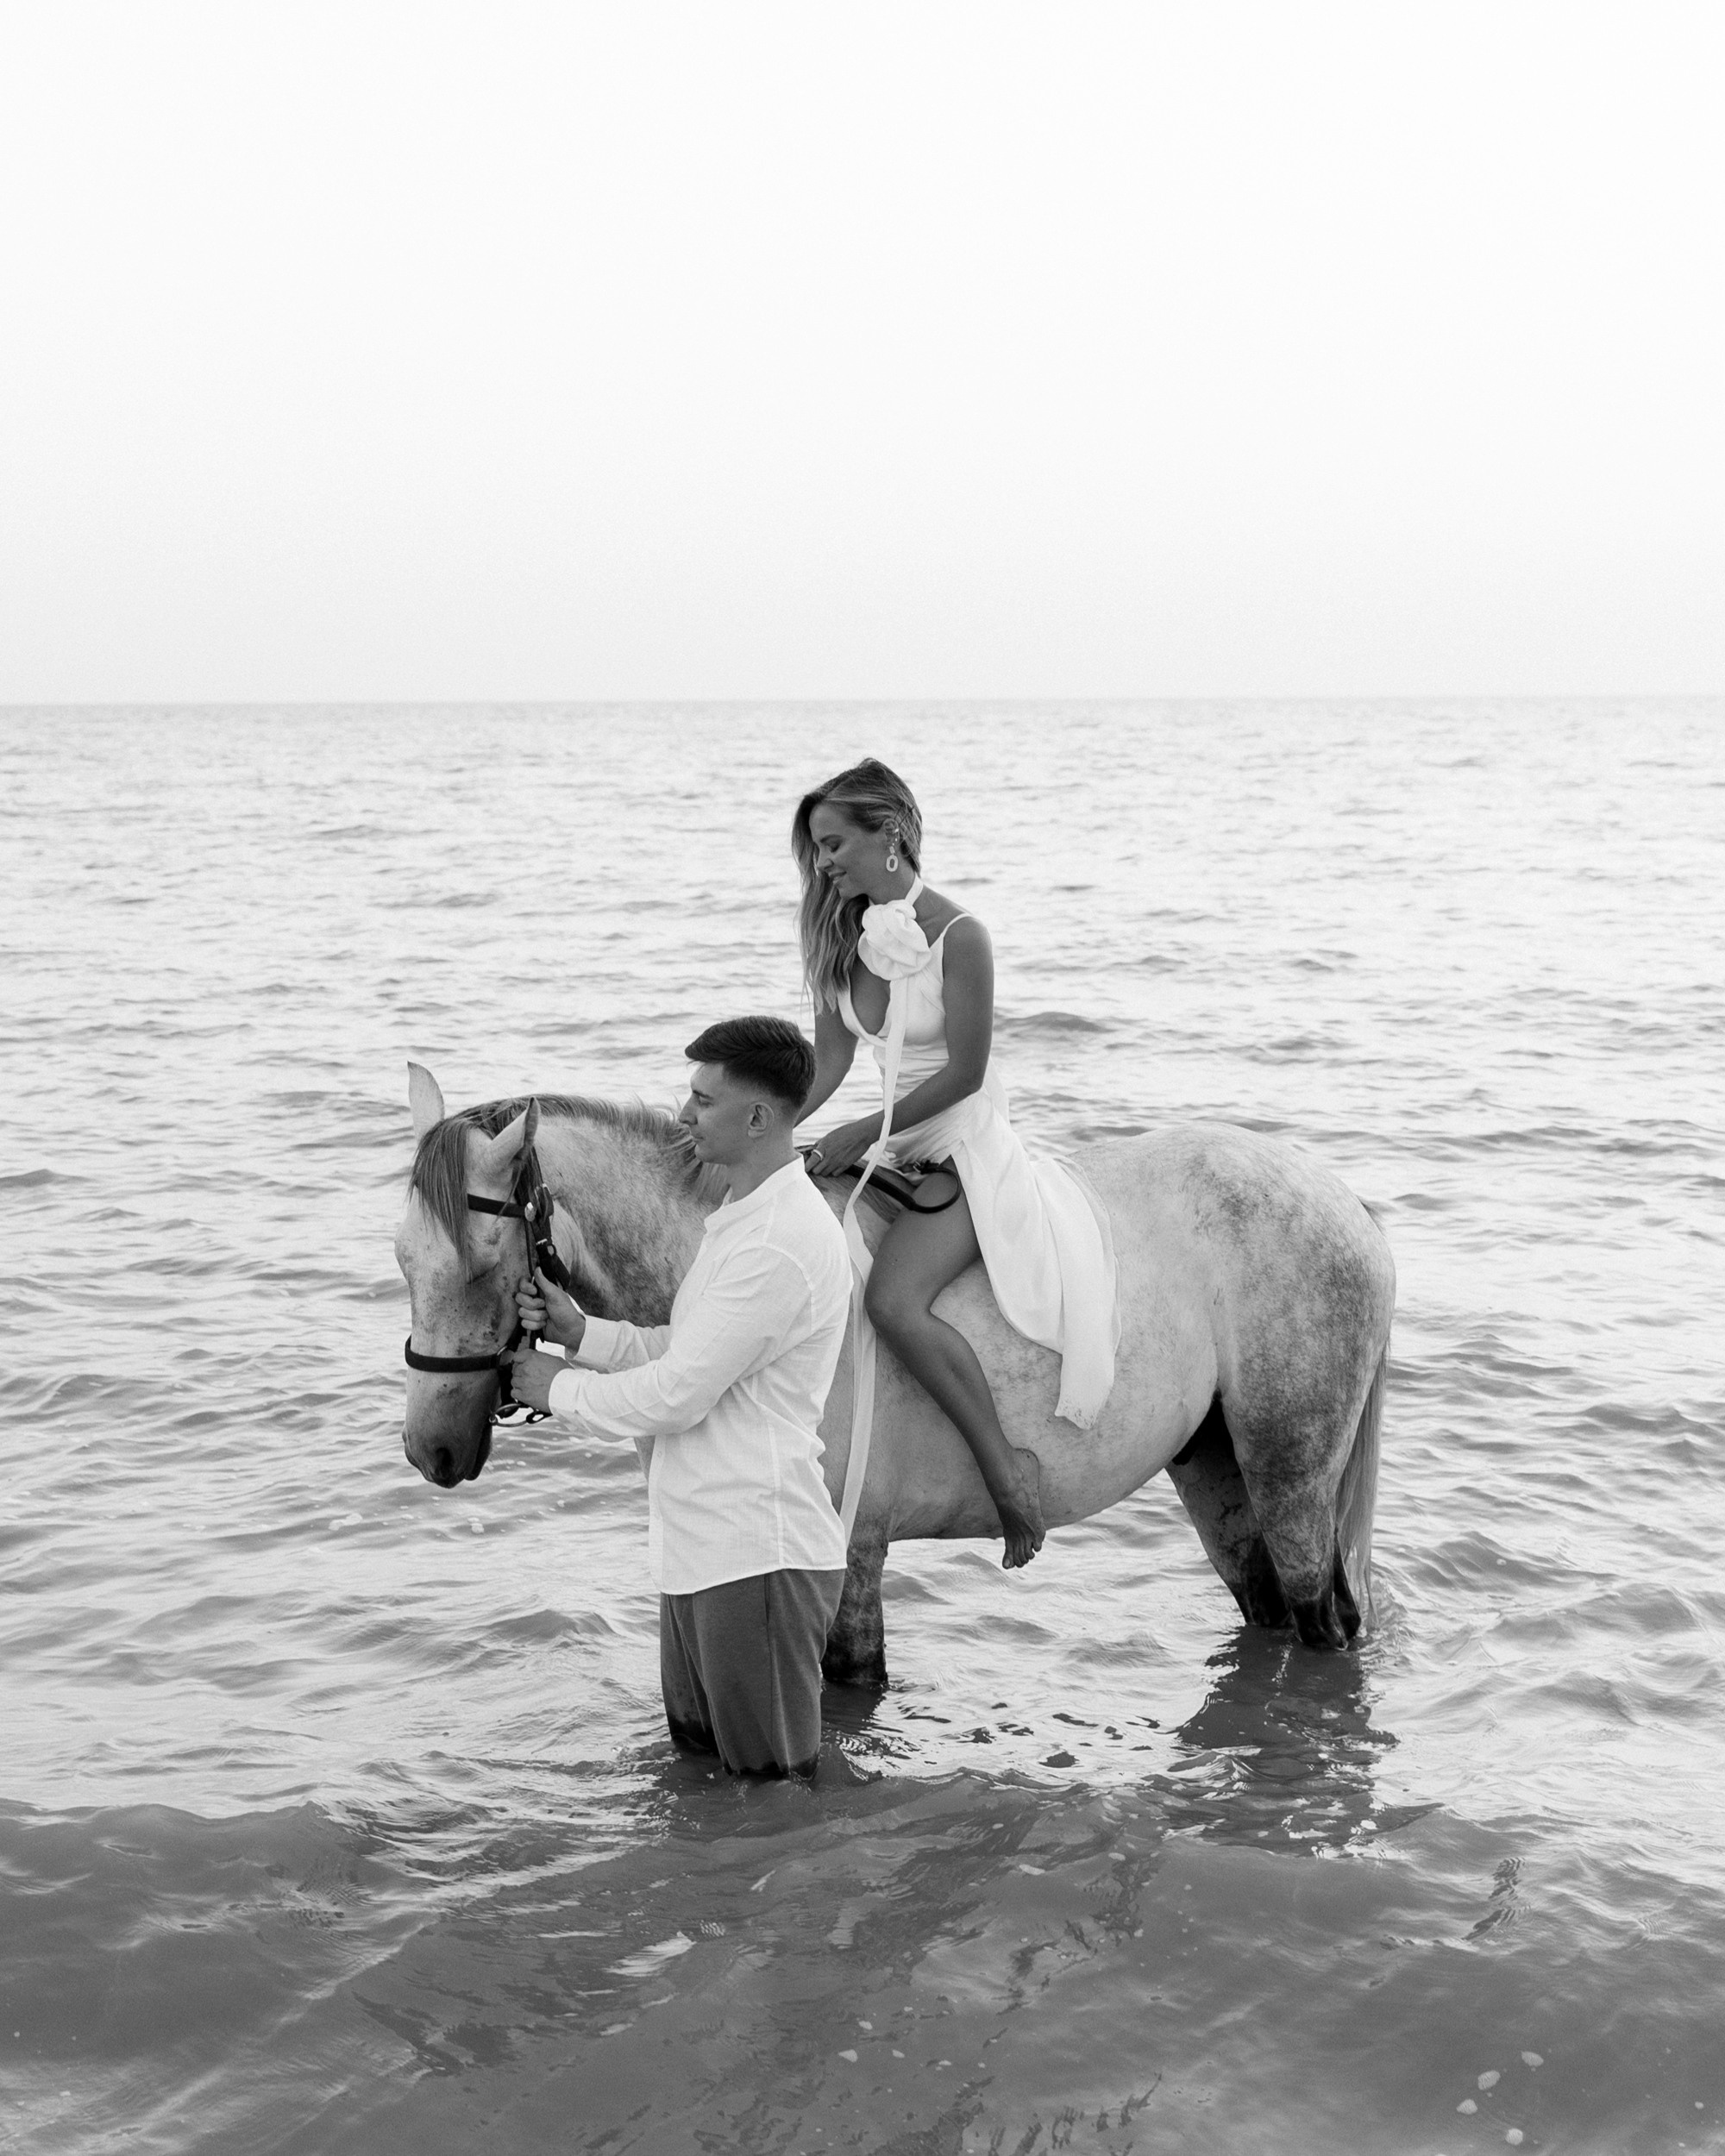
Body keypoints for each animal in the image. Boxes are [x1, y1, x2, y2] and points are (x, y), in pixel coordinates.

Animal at [395, 1064, 1394, 1677]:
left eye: (485, 1263)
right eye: (403, 1259)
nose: (429, 1450)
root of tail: (1343, 1200)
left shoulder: (845, 1555)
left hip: (1291, 1474)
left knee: (1318, 1621)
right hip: (1216, 1470)